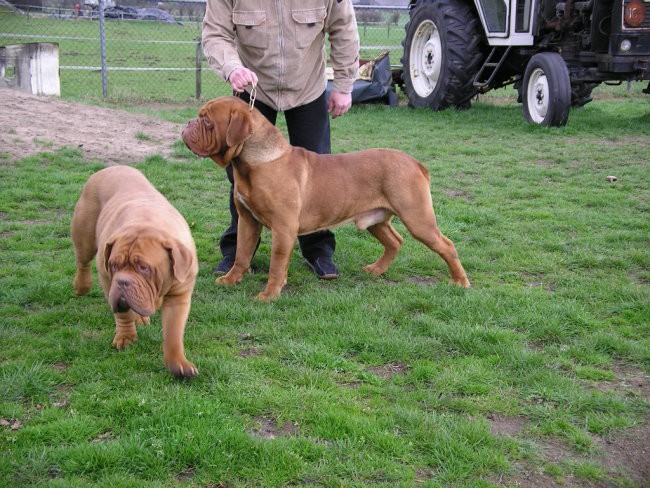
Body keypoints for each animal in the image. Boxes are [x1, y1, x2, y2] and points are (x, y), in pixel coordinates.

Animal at [71, 165, 197, 378]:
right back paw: (82, 286)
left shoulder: (179, 296)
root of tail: (110, 167)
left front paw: (178, 364)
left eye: (144, 268)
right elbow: (122, 315)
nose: (122, 281)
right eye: (114, 265)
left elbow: (173, 332)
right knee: (83, 262)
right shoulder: (107, 279)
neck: (147, 222)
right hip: (84, 237)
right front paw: (126, 337)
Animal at [180, 95, 468, 302]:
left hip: (418, 218)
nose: (188, 124)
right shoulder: (247, 221)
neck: (254, 162)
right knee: (395, 241)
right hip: (376, 220)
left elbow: (276, 265)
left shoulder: (283, 229)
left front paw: (269, 294)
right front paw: (230, 280)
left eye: (207, 121)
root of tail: (416, 163)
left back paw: (460, 282)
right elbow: (241, 255)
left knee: (447, 245)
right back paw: (376, 269)